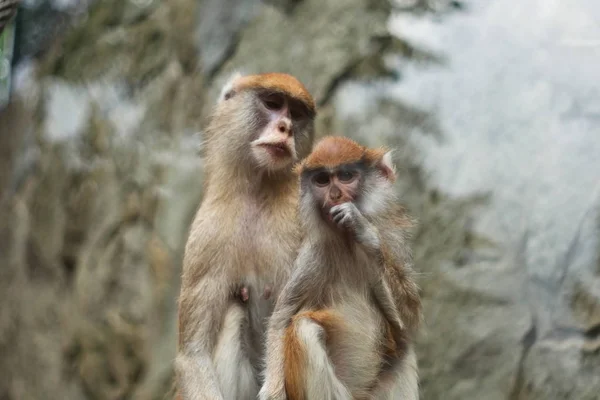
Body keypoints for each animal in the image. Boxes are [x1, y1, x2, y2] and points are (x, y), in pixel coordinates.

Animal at [175, 72, 318, 400]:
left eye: (296, 113)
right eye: (273, 103)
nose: (286, 127)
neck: (258, 190)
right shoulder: (207, 235)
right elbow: (192, 354)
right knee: (232, 313)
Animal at [258, 136, 422, 398]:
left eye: (346, 176)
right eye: (322, 180)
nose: (335, 195)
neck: (346, 242)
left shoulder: (392, 241)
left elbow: (407, 322)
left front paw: (364, 232)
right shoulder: (314, 256)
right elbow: (281, 319)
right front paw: (272, 391)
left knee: (404, 348)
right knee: (304, 328)